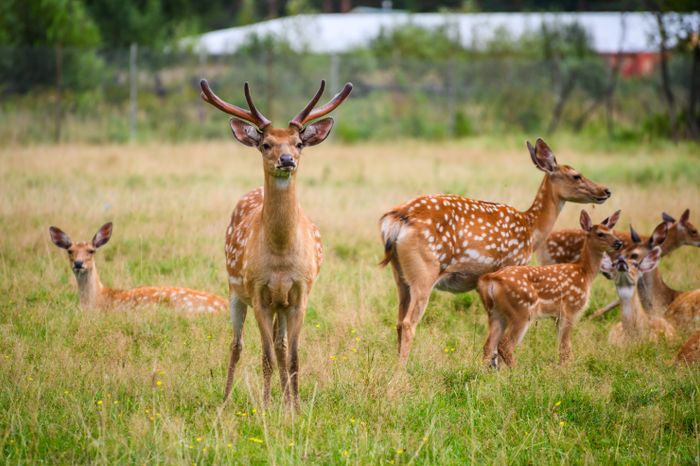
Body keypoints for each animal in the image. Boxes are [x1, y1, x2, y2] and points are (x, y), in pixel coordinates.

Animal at [199, 78, 352, 409]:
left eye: (298, 143)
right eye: (266, 143)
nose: (287, 160)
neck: (281, 257)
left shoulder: (300, 293)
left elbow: (292, 356)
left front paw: (294, 407)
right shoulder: (258, 293)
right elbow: (265, 356)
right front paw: (266, 406)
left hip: (280, 305)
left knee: (280, 346)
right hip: (235, 291)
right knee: (237, 344)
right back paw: (226, 400)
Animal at [379, 138, 612, 362]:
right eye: (576, 176)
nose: (606, 190)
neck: (531, 229)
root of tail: (396, 219)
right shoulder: (512, 264)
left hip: (400, 275)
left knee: (398, 321)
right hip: (425, 271)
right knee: (408, 323)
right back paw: (402, 370)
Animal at [477, 209, 622, 368]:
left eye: (612, 231)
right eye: (600, 233)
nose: (618, 243)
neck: (584, 273)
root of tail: (491, 278)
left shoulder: (556, 316)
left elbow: (561, 346)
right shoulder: (570, 309)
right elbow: (566, 347)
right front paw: (565, 369)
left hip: (495, 313)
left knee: (488, 346)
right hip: (521, 311)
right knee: (505, 345)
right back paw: (517, 370)